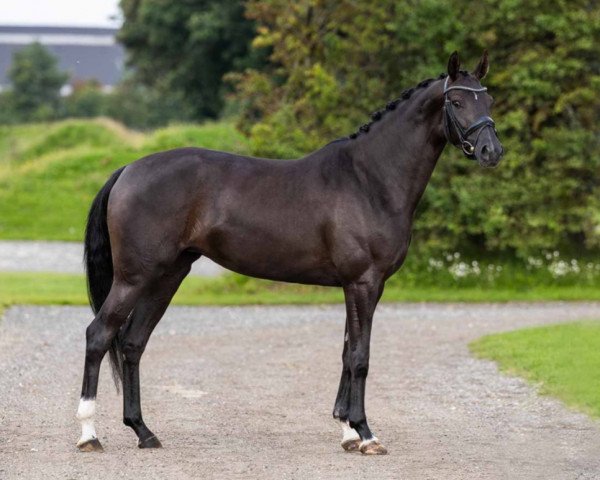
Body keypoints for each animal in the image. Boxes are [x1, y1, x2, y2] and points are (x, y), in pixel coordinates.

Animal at [77, 50, 504, 456]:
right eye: (457, 101)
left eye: (489, 100)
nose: (491, 151)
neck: (369, 180)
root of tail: (128, 170)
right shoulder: (364, 283)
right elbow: (360, 357)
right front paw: (366, 435)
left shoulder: (356, 285)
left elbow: (346, 353)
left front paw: (347, 431)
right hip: (134, 277)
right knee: (99, 335)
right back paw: (89, 435)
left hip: (167, 276)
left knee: (132, 343)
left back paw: (143, 431)